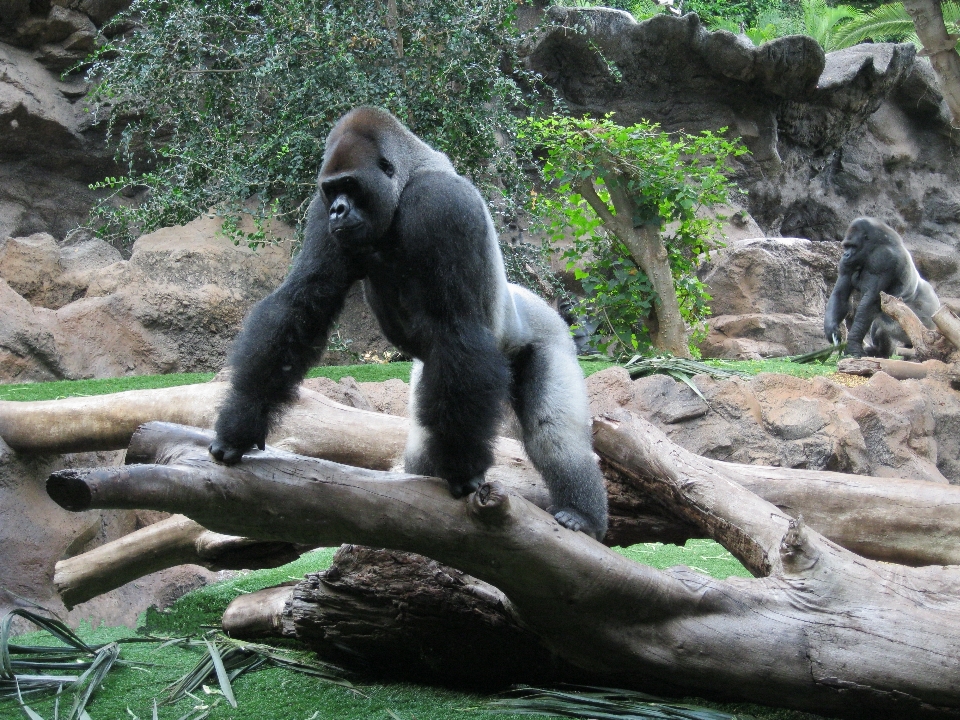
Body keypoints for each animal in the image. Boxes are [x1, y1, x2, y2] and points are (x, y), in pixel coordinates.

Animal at [820, 217, 940, 358]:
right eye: (846, 246)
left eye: (853, 246)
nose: (845, 255)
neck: (872, 246)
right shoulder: (846, 264)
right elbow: (841, 295)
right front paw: (832, 329)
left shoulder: (882, 259)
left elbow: (869, 304)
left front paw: (853, 345)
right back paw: (880, 352)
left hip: (922, 326)